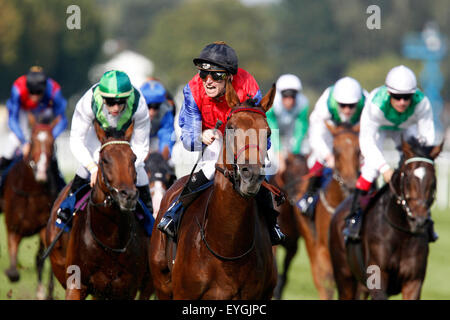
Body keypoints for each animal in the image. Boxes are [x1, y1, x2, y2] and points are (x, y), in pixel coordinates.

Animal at [2, 113, 61, 300]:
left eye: (52, 142)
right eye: (32, 140)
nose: (41, 171)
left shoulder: (44, 227)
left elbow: (43, 259)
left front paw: (44, 292)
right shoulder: (13, 227)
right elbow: (13, 272)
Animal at [45, 120, 153, 300]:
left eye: (134, 158)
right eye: (104, 160)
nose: (128, 195)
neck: (109, 239)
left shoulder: (126, 289)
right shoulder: (76, 284)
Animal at [270, 152, 310, 300]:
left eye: (307, 172)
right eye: (292, 173)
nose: (299, 198)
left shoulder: (293, 247)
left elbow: (284, 277)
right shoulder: (274, 245)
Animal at [328, 138, 444, 300]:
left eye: (433, 179)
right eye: (407, 177)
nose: (419, 221)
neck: (401, 235)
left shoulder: (413, 282)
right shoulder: (378, 278)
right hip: (344, 278)